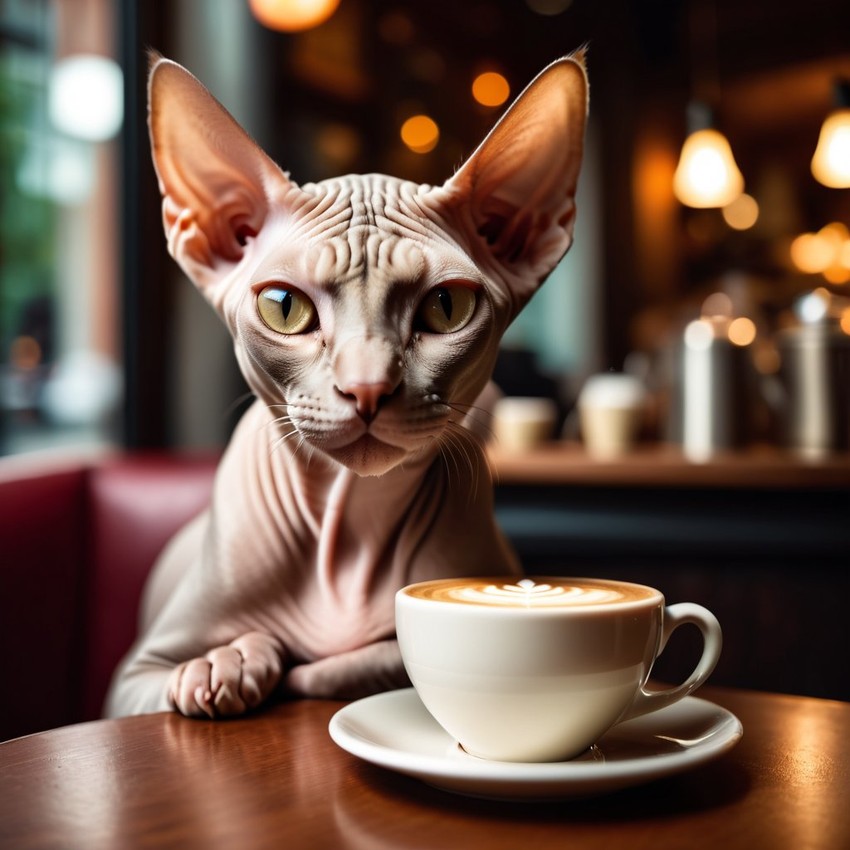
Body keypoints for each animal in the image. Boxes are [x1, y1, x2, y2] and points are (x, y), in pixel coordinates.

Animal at [104, 51, 584, 716]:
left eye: (447, 308)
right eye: (284, 307)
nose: (367, 389)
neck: (348, 532)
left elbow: (356, 662)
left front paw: (271, 661)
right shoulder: (133, 676)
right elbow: (187, 676)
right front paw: (225, 660)